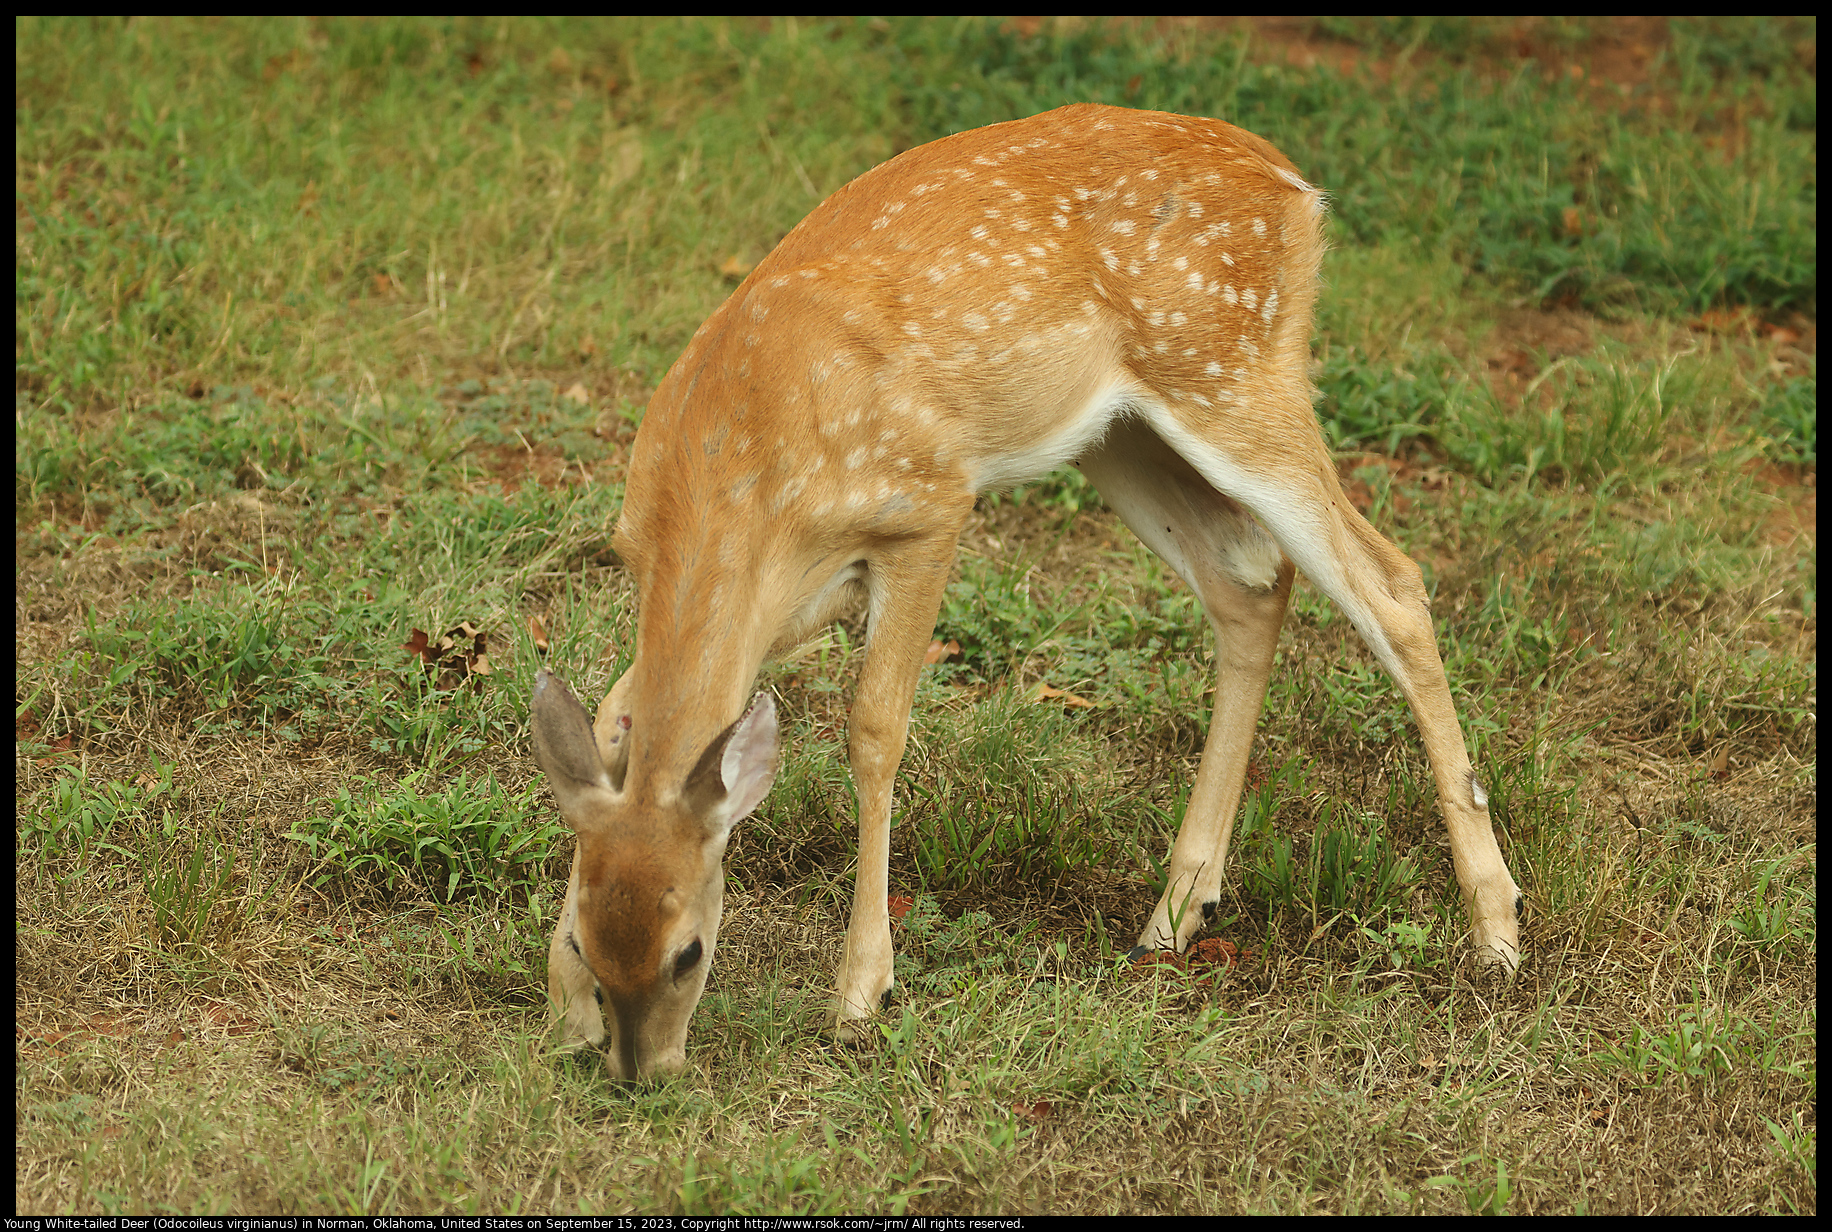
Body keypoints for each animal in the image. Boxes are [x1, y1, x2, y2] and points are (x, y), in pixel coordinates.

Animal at [527, 103, 1516, 1078]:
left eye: (688, 952)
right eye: (593, 944)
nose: (642, 1073)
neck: (739, 475)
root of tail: (1290, 183)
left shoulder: (929, 508)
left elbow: (874, 731)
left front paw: (861, 993)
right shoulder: (783, 600)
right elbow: (613, 715)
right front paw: (564, 1009)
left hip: (1231, 373)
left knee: (1391, 584)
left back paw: (1495, 928)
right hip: (1123, 435)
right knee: (1251, 582)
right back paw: (1176, 912)